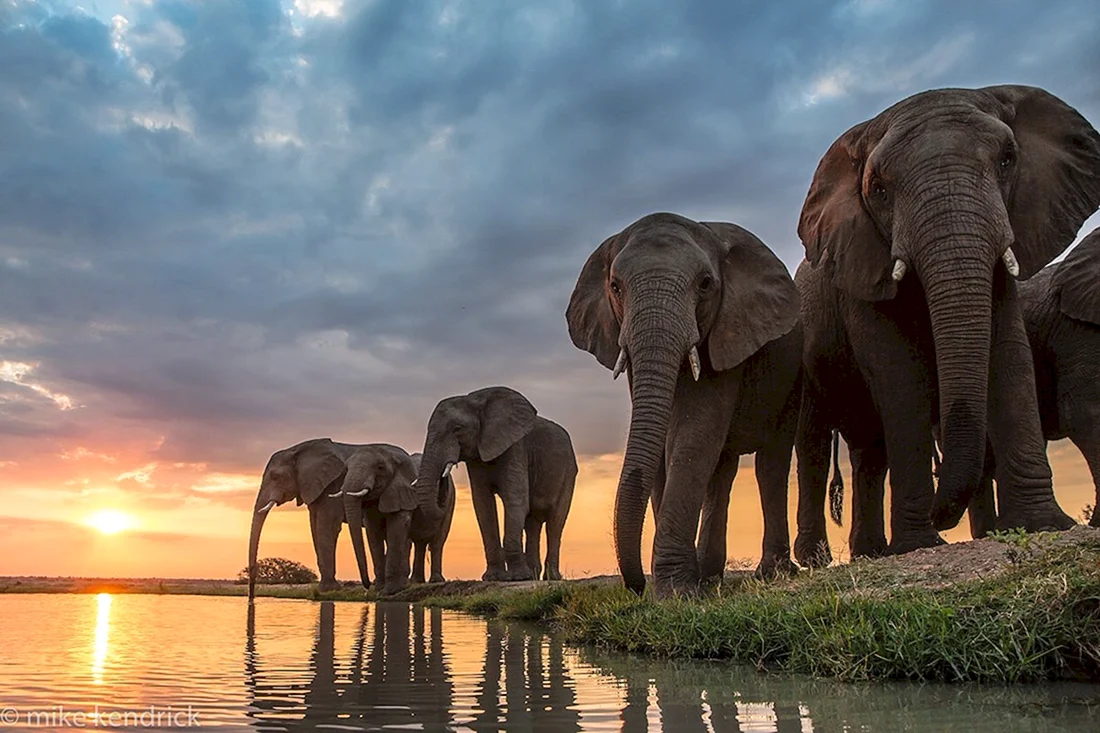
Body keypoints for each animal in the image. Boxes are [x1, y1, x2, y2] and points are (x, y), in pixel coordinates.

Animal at [247, 438, 360, 599]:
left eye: (275, 476)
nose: (251, 598)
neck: (298, 449)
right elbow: (314, 526)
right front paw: (326, 588)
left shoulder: (333, 485)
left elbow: (327, 526)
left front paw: (328, 590)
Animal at [333, 445, 456, 595]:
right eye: (346, 469)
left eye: (380, 467)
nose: (367, 585)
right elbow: (373, 533)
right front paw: (379, 589)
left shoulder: (403, 491)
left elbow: (397, 529)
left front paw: (390, 591)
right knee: (420, 543)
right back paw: (415, 581)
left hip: (451, 501)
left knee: (438, 542)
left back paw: (435, 580)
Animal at [412, 386, 578, 582]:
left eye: (457, 429)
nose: (445, 471)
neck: (476, 400)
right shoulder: (477, 456)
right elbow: (483, 505)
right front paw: (494, 577)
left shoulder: (515, 447)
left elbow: (515, 500)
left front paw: (517, 577)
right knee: (532, 524)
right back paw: (533, 575)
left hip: (568, 473)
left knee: (555, 523)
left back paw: (550, 577)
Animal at [566, 212, 803, 597]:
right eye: (615, 287)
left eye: (705, 284)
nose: (636, 587)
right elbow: (662, 442)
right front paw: (682, 586)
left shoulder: (726, 329)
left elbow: (693, 434)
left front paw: (676, 593)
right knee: (722, 472)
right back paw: (710, 577)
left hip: (793, 374)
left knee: (771, 463)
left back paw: (773, 573)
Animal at [792, 85, 1100, 568]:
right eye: (878, 189)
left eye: (1008, 159)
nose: (942, 513)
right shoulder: (861, 271)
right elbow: (898, 375)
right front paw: (918, 544)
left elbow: (1008, 353)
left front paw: (1046, 525)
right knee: (814, 445)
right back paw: (819, 561)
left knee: (869, 450)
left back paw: (870, 554)